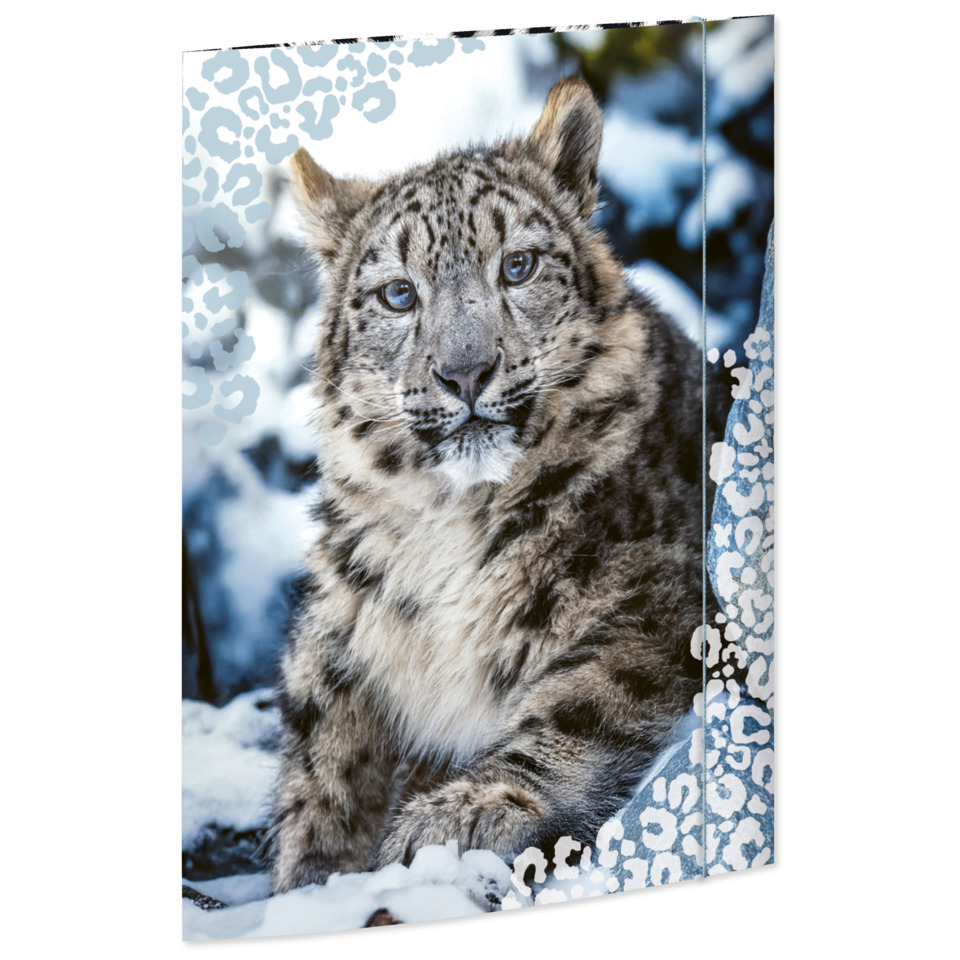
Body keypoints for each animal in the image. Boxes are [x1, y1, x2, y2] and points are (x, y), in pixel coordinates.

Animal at [270, 75, 721, 894]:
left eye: (518, 266)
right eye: (397, 295)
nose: (466, 371)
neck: (450, 524)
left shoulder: (658, 600)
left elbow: (586, 697)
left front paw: (464, 814)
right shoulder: (336, 631)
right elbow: (322, 756)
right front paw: (313, 872)